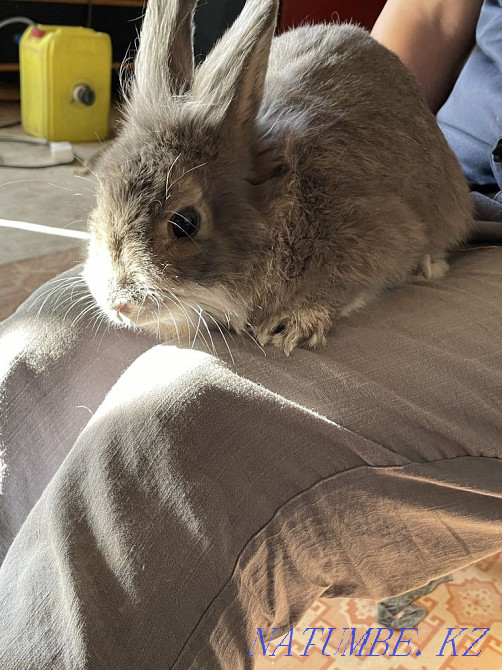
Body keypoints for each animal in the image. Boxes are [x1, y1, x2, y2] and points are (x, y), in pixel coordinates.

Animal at [83, 0, 473, 356]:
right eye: (99, 202)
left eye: (184, 223)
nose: (117, 305)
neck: (282, 208)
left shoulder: (380, 234)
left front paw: (294, 324)